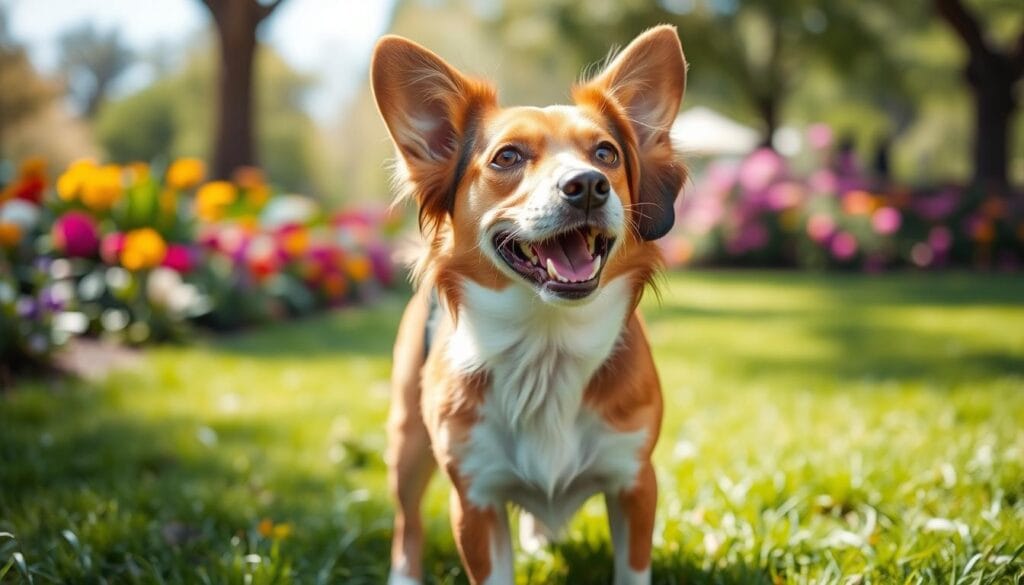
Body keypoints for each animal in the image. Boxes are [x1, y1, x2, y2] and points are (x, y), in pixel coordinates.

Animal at [370, 25, 688, 581]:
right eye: (508, 157)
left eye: (606, 154)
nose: (588, 185)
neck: (547, 347)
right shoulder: (473, 500)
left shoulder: (635, 482)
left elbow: (631, 568)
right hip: (407, 440)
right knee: (407, 522)